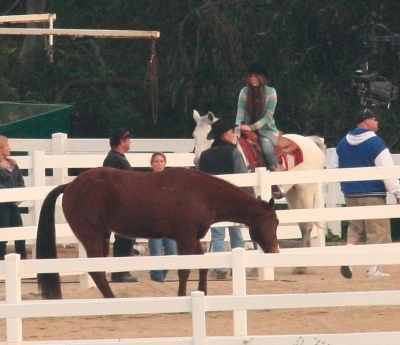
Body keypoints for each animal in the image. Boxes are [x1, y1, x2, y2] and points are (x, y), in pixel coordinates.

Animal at [36, 167, 278, 298]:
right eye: (274, 222)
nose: (275, 251)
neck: (203, 194)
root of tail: (70, 186)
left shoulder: (193, 237)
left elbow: (201, 265)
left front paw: (202, 292)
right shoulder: (185, 238)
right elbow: (184, 270)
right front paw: (181, 295)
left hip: (102, 237)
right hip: (92, 236)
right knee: (97, 272)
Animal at [192, 109, 326, 272]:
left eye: (207, 135)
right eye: (194, 135)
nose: (197, 161)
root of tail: (310, 141)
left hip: (305, 190)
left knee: (307, 225)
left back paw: (301, 266)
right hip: (292, 193)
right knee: (302, 223)